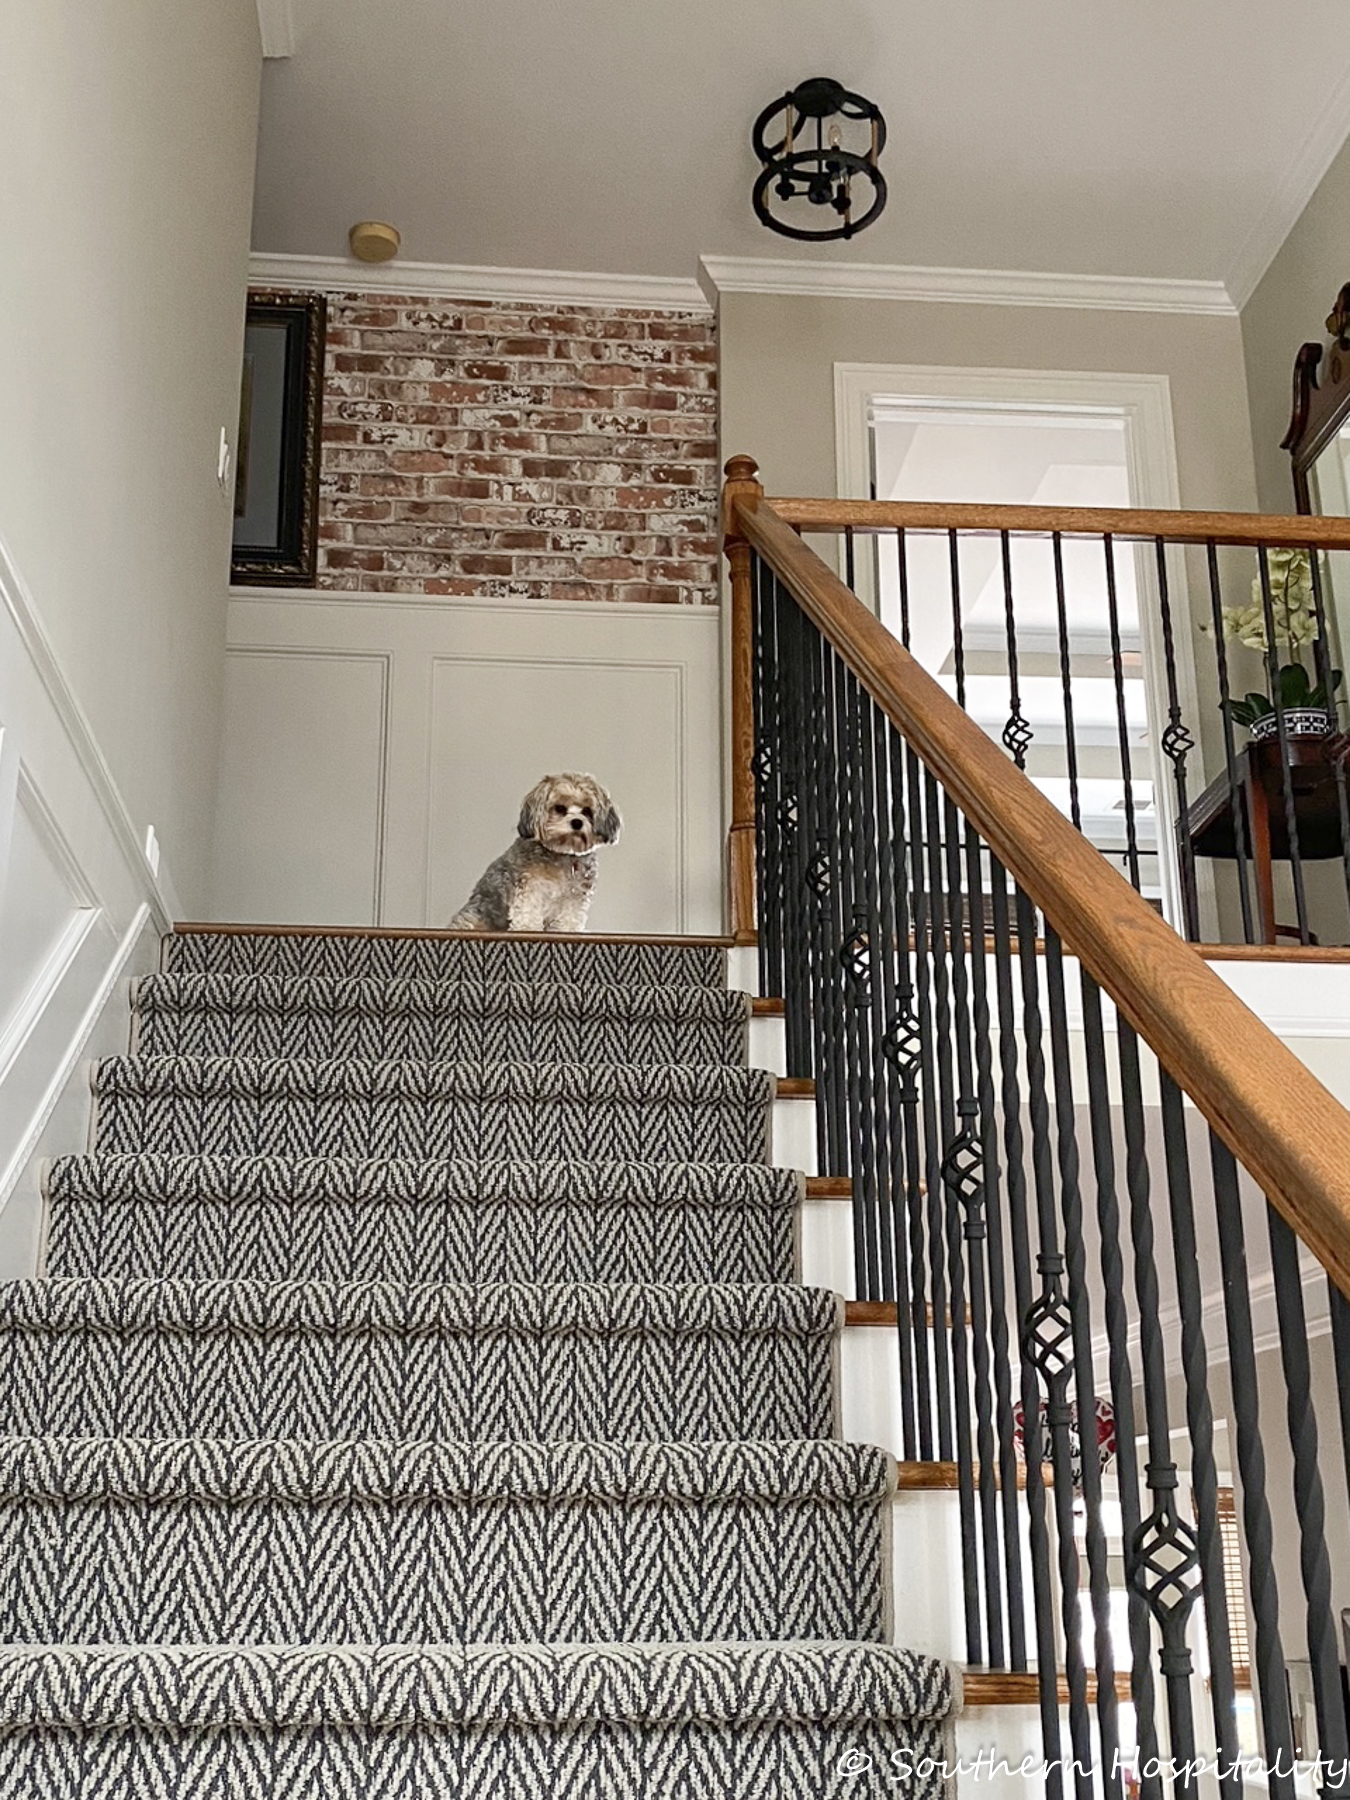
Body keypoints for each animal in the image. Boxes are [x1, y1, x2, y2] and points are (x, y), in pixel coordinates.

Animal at [451, 774, 626, 936]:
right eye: (560, 808)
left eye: (587, 811)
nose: (577, 822)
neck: (562, 854)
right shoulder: (531, 887)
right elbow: (528, 911)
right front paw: (527, 929)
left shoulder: (575, 896)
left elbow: (570, 917)